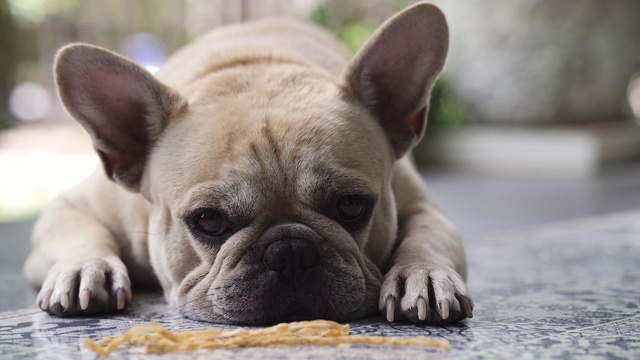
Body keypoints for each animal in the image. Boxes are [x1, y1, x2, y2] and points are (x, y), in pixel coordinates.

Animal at [23, 1, 470, 324]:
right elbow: (79, 231)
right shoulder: (73, 206)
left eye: (351, 206)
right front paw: (84, 268)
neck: (253, 67)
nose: (290, 252)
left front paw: (424, 276)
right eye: (208, 221)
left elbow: (429, 234)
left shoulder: (419, 202)